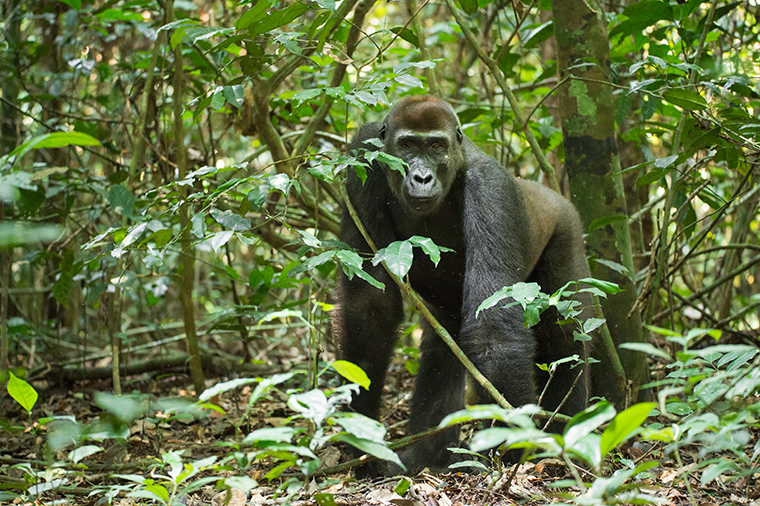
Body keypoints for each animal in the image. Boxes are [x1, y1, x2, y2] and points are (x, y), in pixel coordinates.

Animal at [338, 94, 592, 474]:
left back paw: (565, 439)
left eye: (436, 146)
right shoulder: (361, 156)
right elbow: (370, 306)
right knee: (442, 349)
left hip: (567, 226)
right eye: (407, 146)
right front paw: (361, 437)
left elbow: (494, 331)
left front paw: (512, 451)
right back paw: (427, 456)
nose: (422, 177)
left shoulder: (492, 189)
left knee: (561, 334)